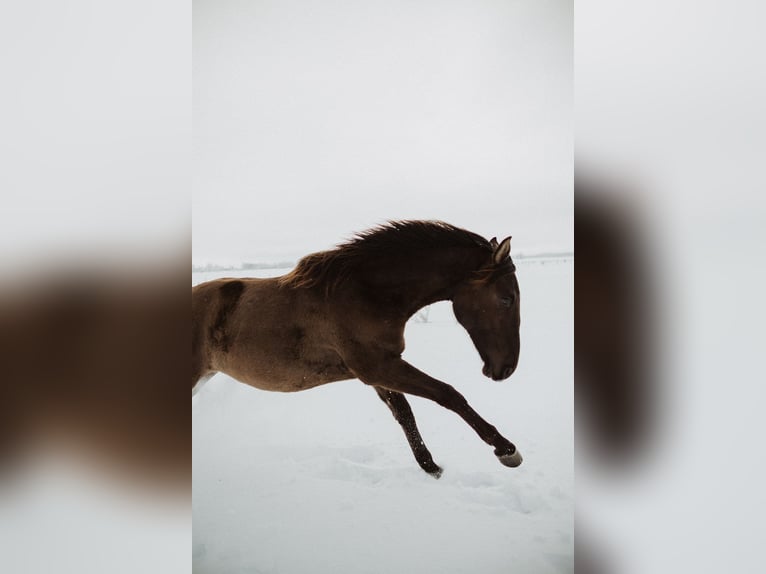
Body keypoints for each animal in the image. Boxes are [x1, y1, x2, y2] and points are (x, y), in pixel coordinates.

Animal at [192, 220, 522, 478]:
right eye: (507, 298)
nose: (506, 368)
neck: (363, 294)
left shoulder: (380, 370)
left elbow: (404, 413)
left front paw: (430, 467)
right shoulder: (378, 367)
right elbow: (448, 394)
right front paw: (506, 449)